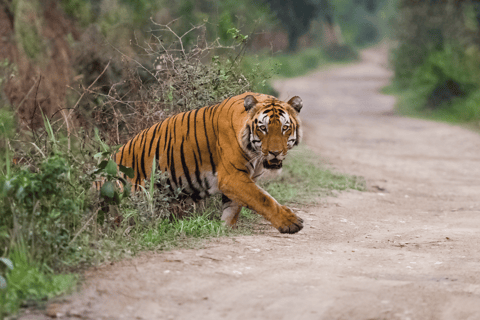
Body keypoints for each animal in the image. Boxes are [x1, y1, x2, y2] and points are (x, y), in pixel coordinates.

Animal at [114, 91, 302, 234]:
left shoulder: (242, 179)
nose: (275, 153)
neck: (255, 154)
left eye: (285, 128)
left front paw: (225, 229)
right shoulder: (232, 177)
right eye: (263, 128)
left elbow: (233, 208)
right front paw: (290, 222)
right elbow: (263, 199)